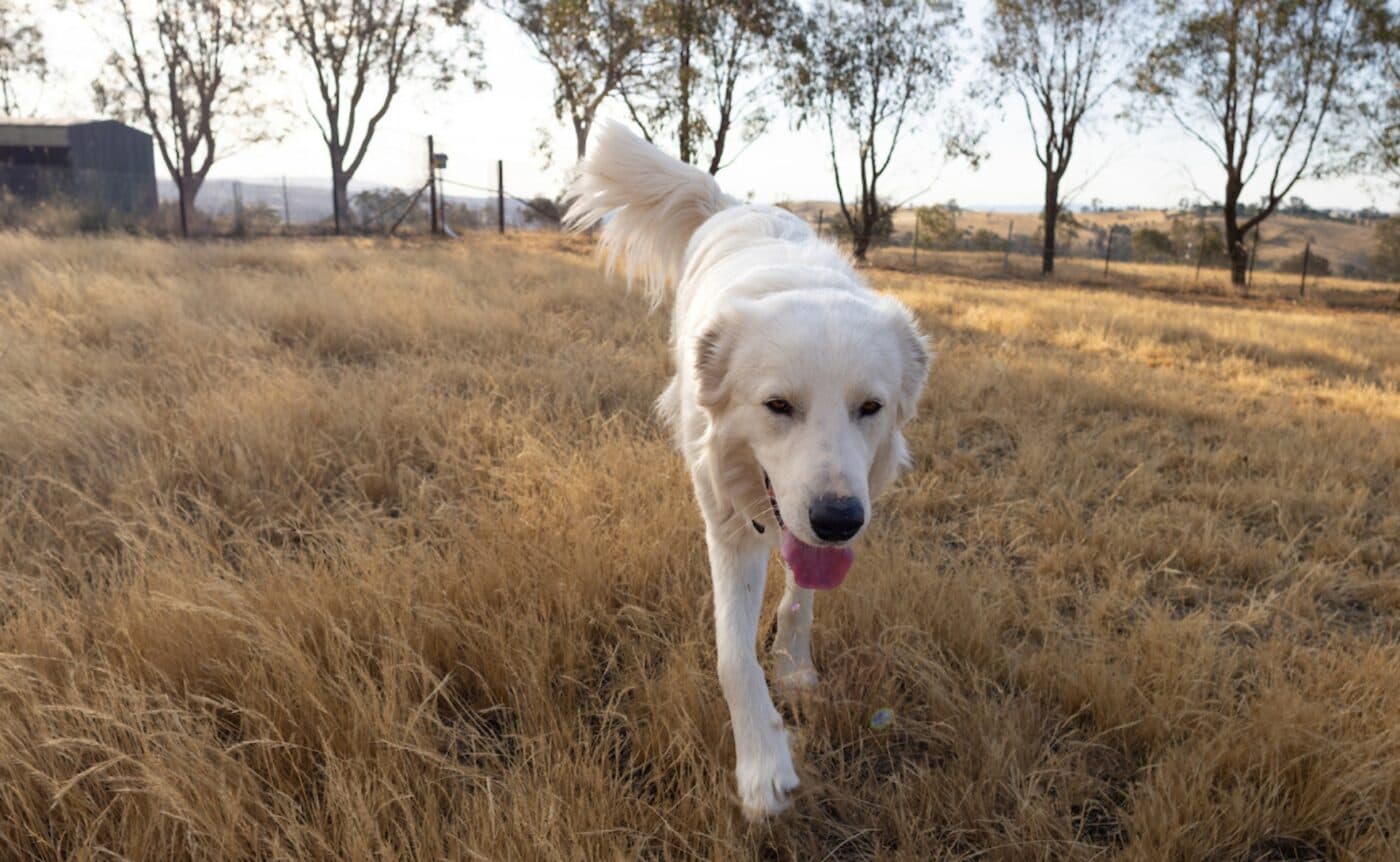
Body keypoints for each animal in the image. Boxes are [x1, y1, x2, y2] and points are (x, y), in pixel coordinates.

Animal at [568, 123, 929, 822]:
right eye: (778, 405)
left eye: (870, 408)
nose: (840, 521)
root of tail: (731, 204)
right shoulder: (732, 525)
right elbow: (732, 655)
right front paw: (763, 767)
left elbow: (801, 598)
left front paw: (792, 668)